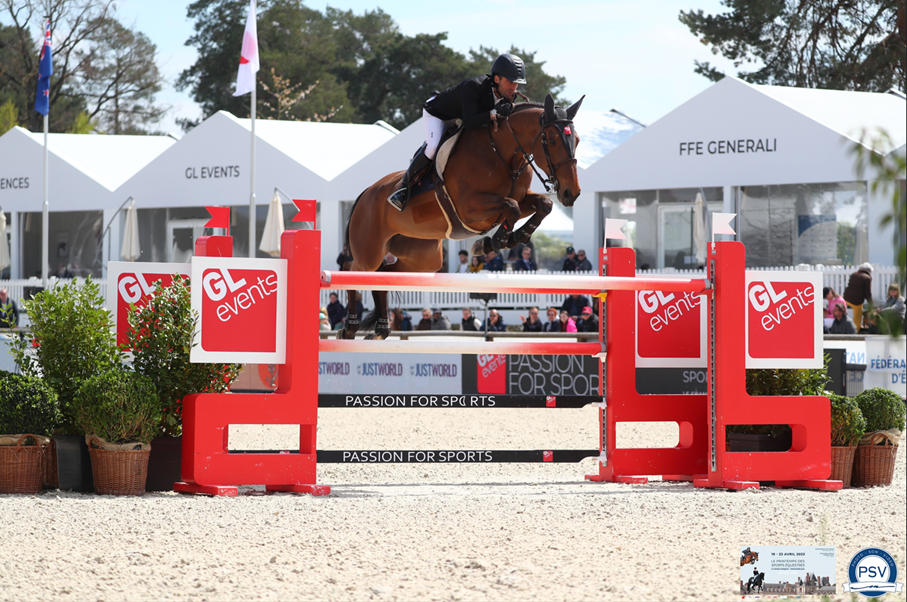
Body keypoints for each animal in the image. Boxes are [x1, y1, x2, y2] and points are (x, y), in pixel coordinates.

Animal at [336, 91, 584, 340]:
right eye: (552, 140)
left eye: (577, 140)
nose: (571, 193)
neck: (501, 153)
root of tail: (365, 194)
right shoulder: (469, 208)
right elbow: (511, 207)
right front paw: (493, 242)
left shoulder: (519, 201)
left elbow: (543, 204)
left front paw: (511, 238)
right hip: (370, 250)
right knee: (352, 269)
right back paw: (349, 328)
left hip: (423, 258)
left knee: (384, 274)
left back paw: (381, 329)